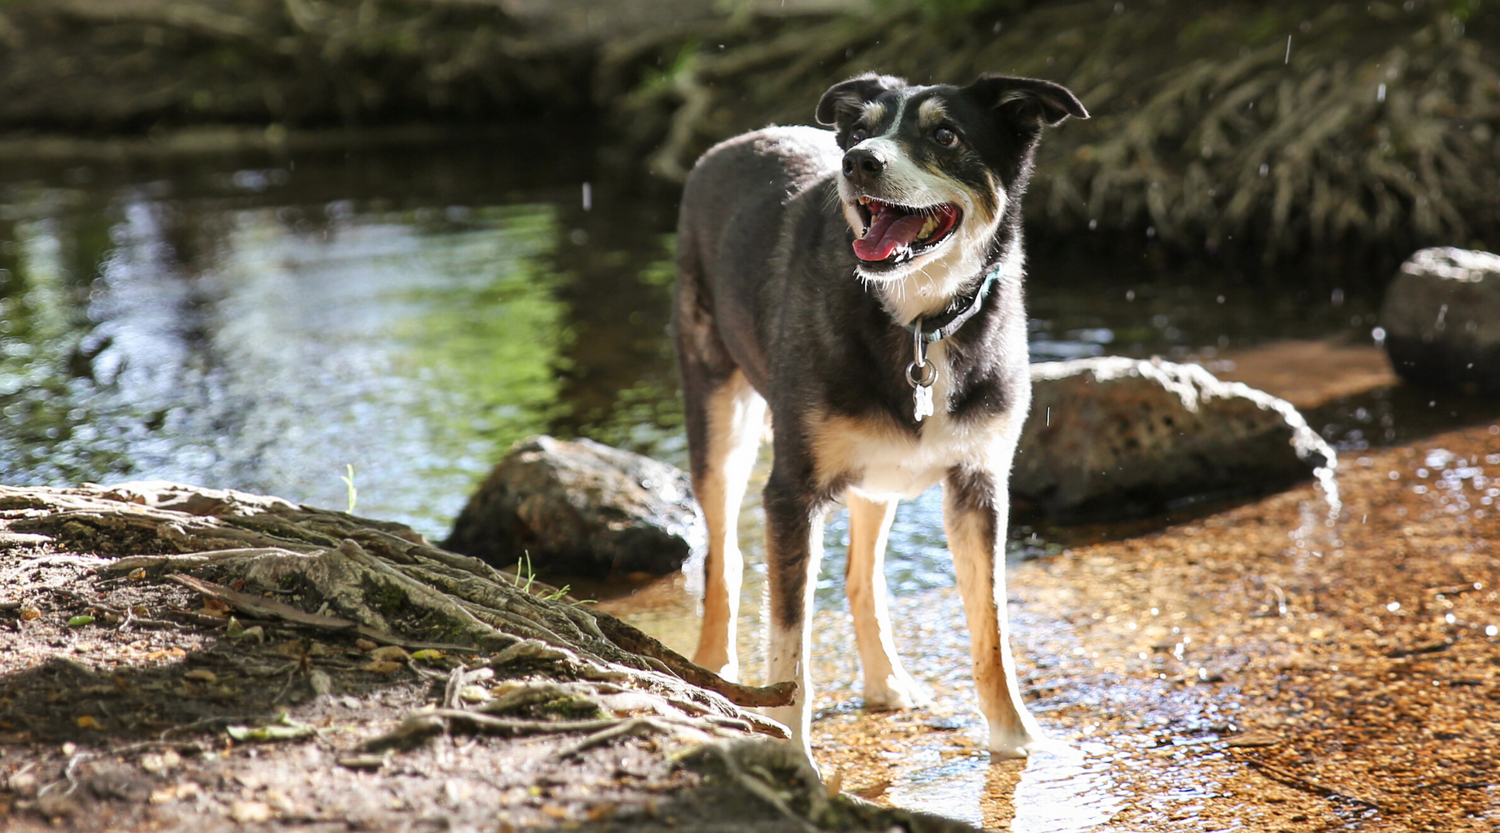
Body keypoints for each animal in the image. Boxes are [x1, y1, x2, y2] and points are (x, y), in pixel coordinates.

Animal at [675, 73, 1086, 762]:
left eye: (945, 134)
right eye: (860, 131)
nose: (857, 162)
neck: (918, 320)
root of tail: (728, 145)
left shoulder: (979, 486)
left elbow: (991, 627)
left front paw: (1016, 740)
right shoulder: (792, 493)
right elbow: (789, 651)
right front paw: (794, 759)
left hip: (879, 474)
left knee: (860, 573)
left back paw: (885, 681)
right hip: (718, 415)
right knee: (723, 558)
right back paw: (714, 671)